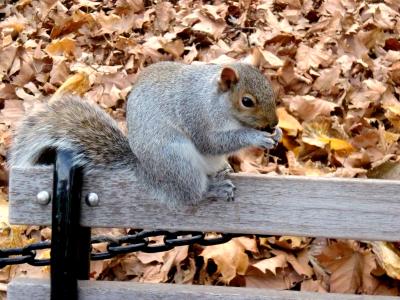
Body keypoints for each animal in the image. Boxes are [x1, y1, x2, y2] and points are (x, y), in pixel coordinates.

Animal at [8, 61, 282, 209]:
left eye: (270, 89)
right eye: (247, 101)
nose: (274, 123)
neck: (214, 99)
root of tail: (146, 170)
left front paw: (277, 133)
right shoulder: (196, 115)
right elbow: (212, 142)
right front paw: (255, 137)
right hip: (176, 161)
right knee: (193, 194)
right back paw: (214, 188)